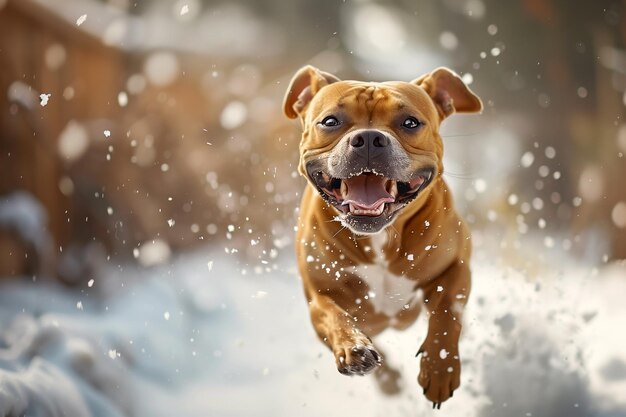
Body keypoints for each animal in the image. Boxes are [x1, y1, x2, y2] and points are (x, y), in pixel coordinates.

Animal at [280, 65, 480, 406]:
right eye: (330, 121)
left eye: (410, 122)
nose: (370, 138)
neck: (381, 237)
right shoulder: (318, 297)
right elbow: (333, 315)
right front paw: (354, 348)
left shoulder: (456, 267)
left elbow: (446, 314)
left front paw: (440, 369)